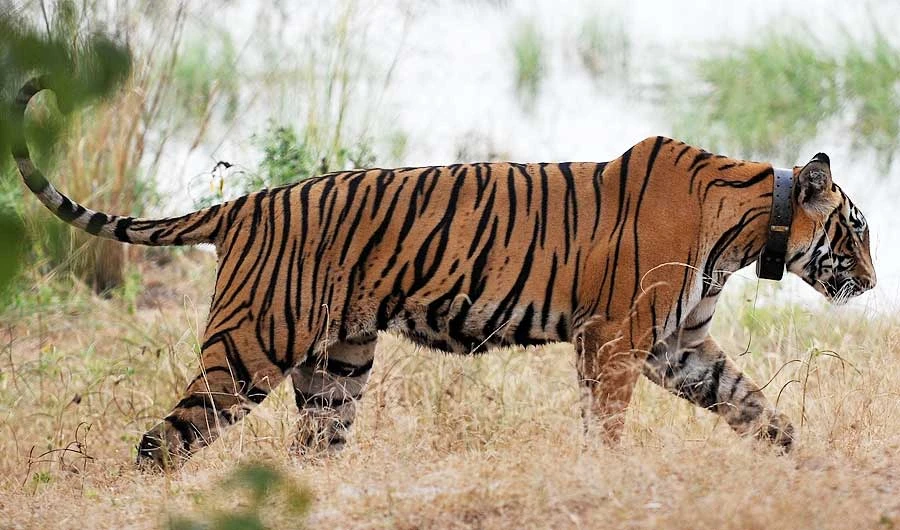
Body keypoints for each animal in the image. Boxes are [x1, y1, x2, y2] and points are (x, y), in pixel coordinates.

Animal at [11, 77, 876, 470]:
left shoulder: (679, 347)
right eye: (860, 229)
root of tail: (249, 201)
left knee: (309, 449)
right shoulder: (617, 340)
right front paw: (608, 479)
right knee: (163, 441)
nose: (871, 282)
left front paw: (806, 461)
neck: (752, 227)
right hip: (251, 348)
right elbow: (607, 426)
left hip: (337, 365)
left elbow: (755, 405)